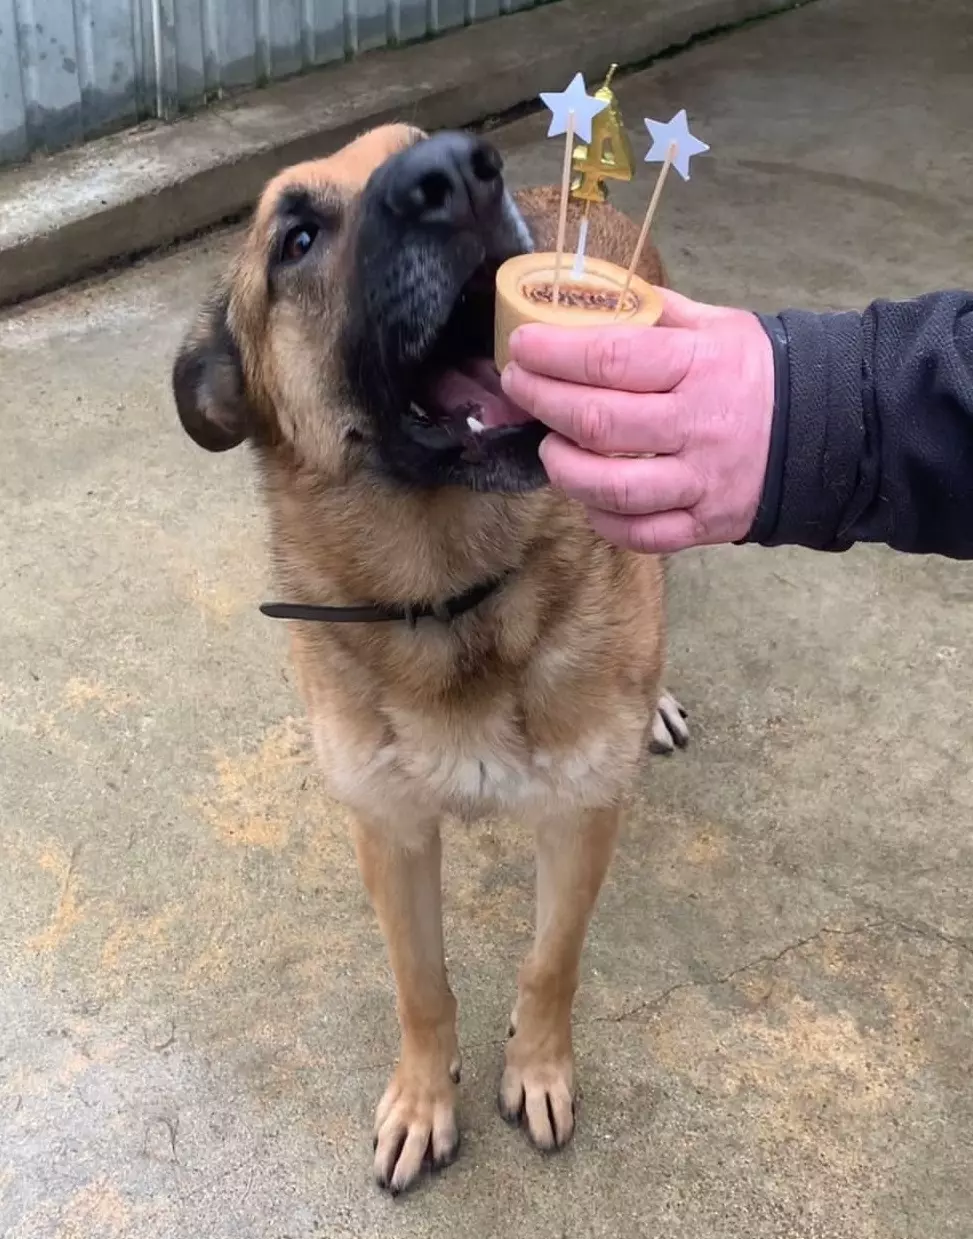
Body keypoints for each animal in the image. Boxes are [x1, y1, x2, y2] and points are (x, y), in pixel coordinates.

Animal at [174, 123, 689, 1189]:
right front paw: (422, 1098)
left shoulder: (580, 815)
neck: (452, 594)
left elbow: (549, 962)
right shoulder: (389, 829)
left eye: (411, 147)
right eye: (294, 238)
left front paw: (535, 1069)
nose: (459, 170)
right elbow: (420, 983)